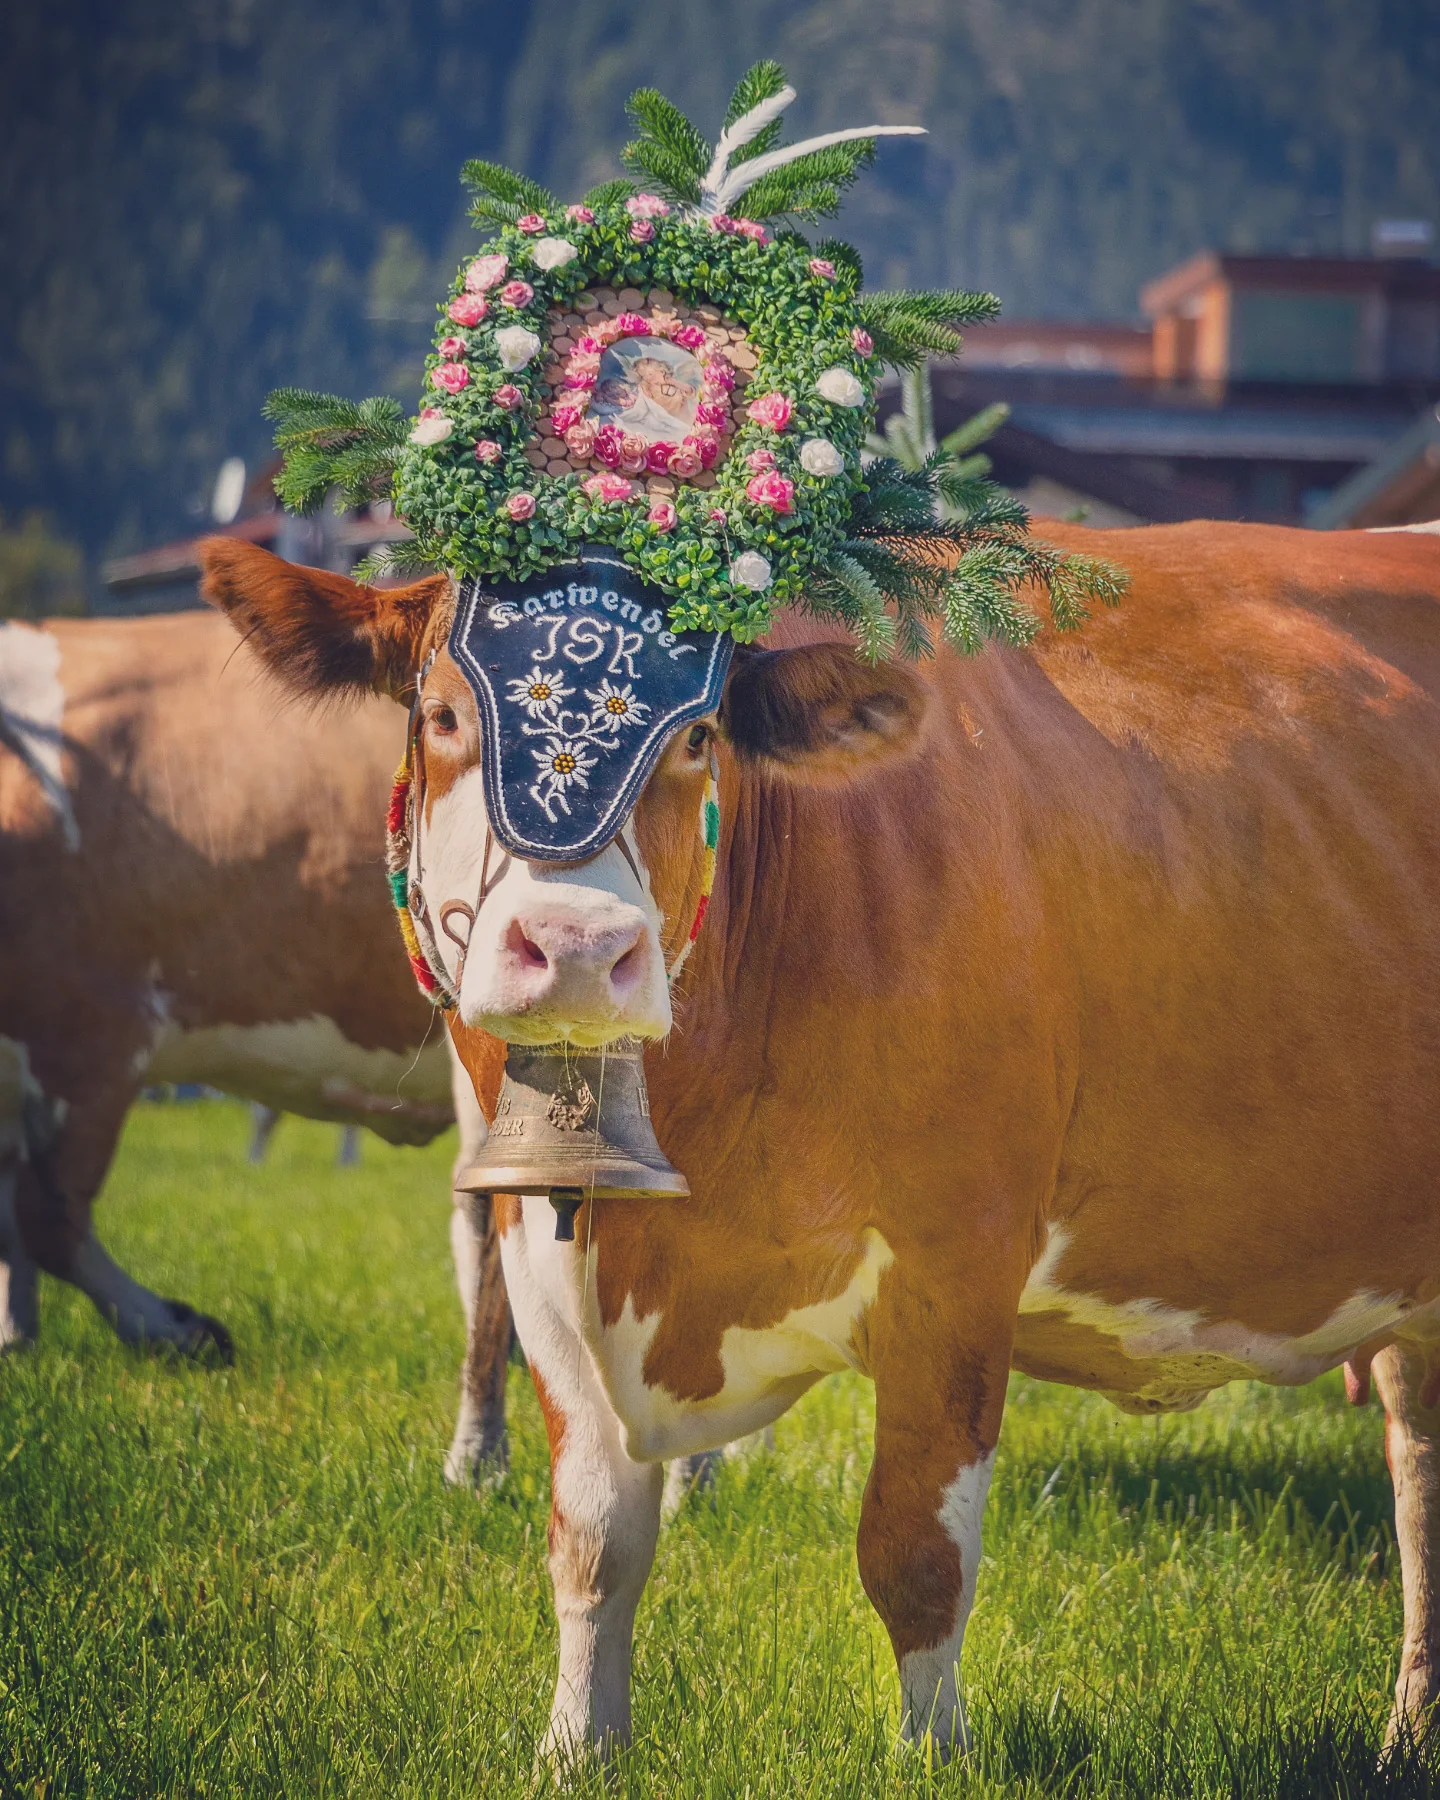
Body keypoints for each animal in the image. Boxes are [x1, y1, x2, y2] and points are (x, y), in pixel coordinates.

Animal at [201, 519, 1440, 1763]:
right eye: (446, 715)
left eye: (700, 736)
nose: (579, 948)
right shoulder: (539, 1248)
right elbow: (593, 1544)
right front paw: (574, 1750)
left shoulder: (958, 1265)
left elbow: (915, 1556)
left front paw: (934, 1757)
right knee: (1422, 1471)